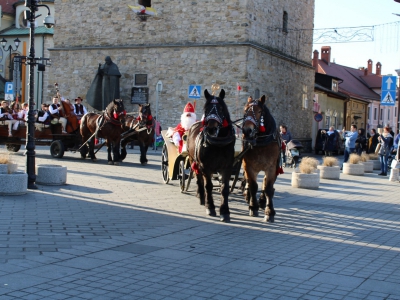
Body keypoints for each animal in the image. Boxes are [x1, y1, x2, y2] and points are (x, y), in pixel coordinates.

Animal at [187, 89, 236, 223]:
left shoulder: (227, 167)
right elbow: (208, 186)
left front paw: (225, 212)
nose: (211, 128)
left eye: (221, 108)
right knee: (200, 180)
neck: (218, 143)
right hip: (194, 161)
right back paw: (202, 198)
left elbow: (224, 188)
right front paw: (210, 207)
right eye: (206, 108)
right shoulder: (205, 167)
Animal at [241, 95, 282, 223]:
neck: (261, 142)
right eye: (245, 110)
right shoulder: (249, 166)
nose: (247, 130)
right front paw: (253, 207)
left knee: (265, 184)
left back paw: (263, 201)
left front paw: (269, 212)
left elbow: (268, 188)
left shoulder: (271, 168)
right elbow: (253, 186)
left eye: (259, 111)